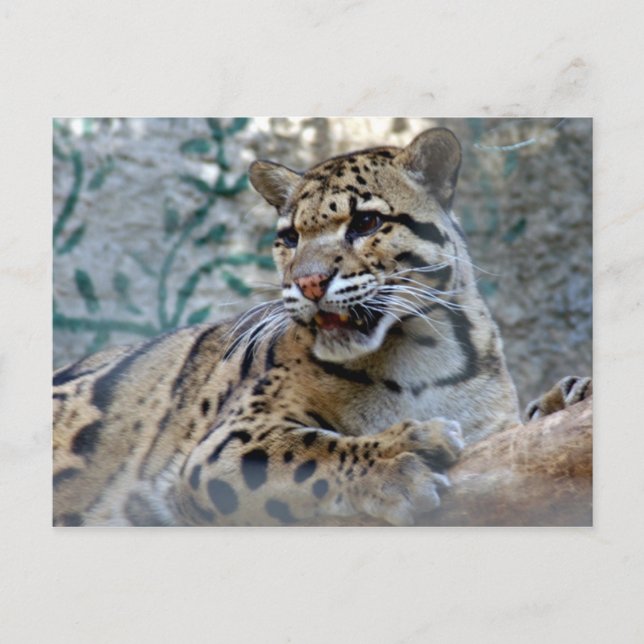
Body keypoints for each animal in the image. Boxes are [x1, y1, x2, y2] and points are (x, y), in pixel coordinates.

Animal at [53, 127, 591, 526]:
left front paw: (565, 396)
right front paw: (398, 456)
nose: (308, 282)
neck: (421, 352)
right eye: (289, 238)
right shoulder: (224, 441)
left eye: (367, 223)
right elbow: (307, 451)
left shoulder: (496, 435)